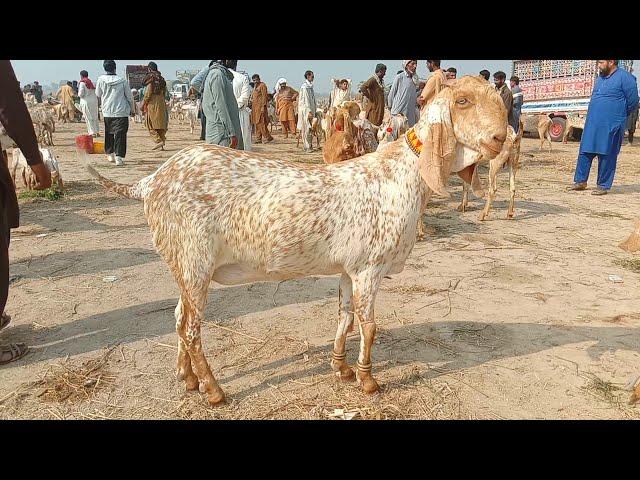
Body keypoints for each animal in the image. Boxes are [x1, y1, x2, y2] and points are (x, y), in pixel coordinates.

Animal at [85, 75, 508, 404]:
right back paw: (214, 389)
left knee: (177, 318)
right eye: (463, 101)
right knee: (191, 328)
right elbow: (370, 325)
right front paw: (368, 380)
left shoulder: (349, 269)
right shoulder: (370, 268)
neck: (402, 174)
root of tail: (151, 181)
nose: (501, 137)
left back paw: (187, 378)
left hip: (183, 265)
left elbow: (345, 316)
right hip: (195, 263)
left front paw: (341, 368)